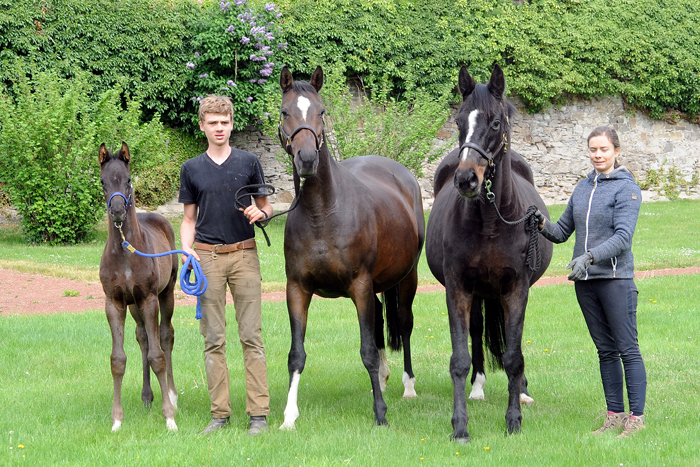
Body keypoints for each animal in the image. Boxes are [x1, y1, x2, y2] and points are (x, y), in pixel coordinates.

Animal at [99, 142, 180, 432]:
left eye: (128, 179)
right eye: (102, 182)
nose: (117, 211)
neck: (125, 252)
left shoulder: (148, 299)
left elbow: (158, 356)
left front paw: (169, 417)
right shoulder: (114, 303)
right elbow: (118, 360)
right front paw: (116, 420)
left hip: (166, 295)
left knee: (165, 336)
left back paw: (171, 394)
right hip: (134, 306)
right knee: (143, 337)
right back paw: (147, 396)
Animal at [276, 66, 424, 432]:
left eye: (321, 111)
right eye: (285, 112)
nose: (307, 159)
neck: (322, 214)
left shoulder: (359, 285)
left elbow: (367, 350)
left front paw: (380, 413)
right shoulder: (297, 289)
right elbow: (296, 355)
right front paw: (288, 417)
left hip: (407, 278)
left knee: (404, 322)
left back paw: (408, 387)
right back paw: (383, 378)